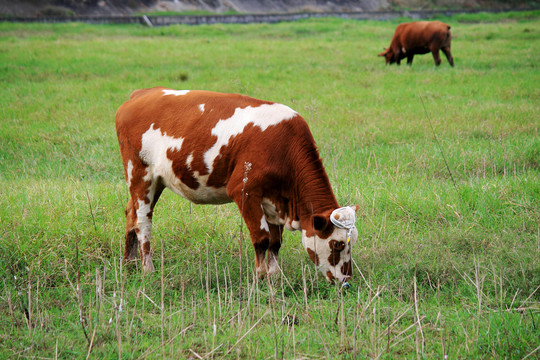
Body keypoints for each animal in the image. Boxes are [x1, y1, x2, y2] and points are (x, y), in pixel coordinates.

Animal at [114, 88, 358, 284]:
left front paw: (274, 276)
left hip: (156, 181)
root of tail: (142, 94)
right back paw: (147, 269)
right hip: (139, 173)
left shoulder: (274, 200)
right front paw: (260, 277)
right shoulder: (244, 191)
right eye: (338, 244)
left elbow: (275, 242)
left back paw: (129, 265)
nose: (346, 280)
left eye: (352, 242)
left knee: (130, 213)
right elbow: (262, 238)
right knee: (143, 220)